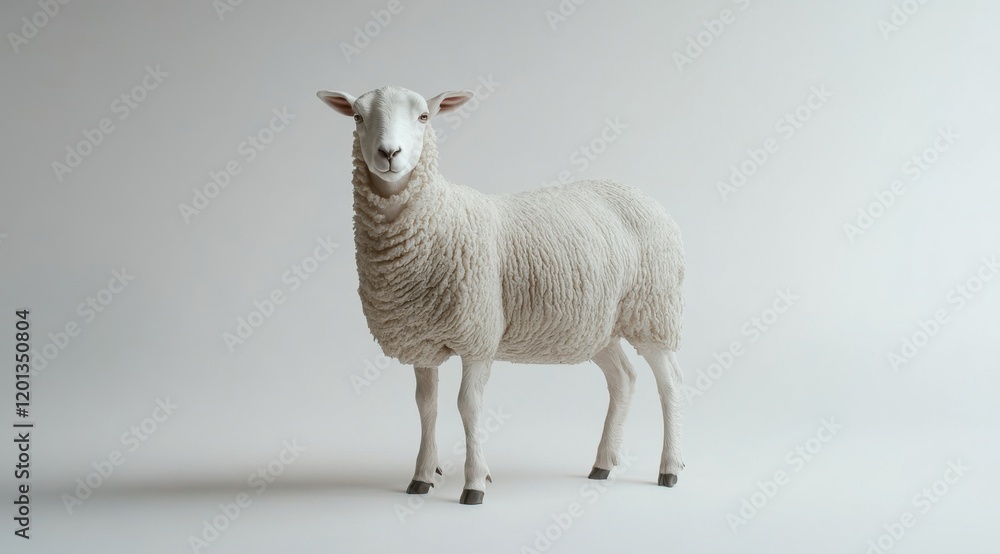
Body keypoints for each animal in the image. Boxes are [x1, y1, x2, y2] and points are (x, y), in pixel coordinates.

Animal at [317, 85, 686, 505]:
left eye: (424, 116)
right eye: (358, 117)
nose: (389, 154)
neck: (440, 219)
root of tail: (642, 194)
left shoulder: (479, 335)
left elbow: (468, 405)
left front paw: (474, 483)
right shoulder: (420, 338)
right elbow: (426, 405)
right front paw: (422, 476)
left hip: (652, 311)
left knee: (670, 383)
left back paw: (670, 468)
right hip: (598, 326)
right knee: (624, 378)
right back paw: (603, 464)